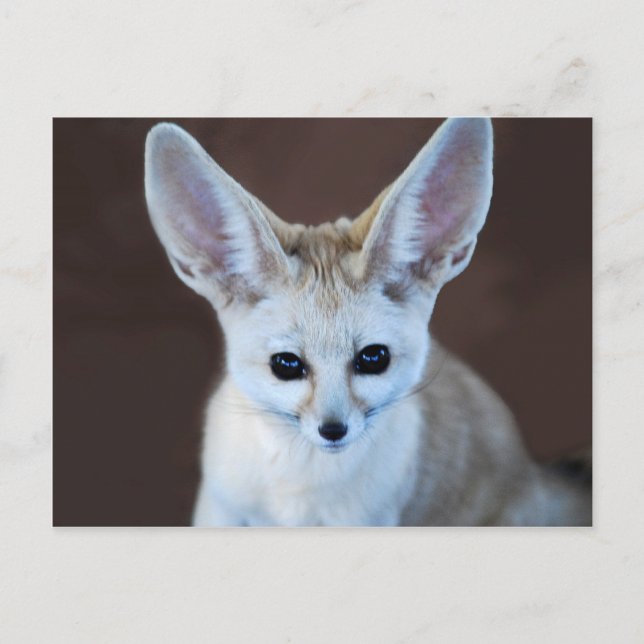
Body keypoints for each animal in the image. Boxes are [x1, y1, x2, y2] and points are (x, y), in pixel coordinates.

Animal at [144, 118, 591, 527]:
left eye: (374, 359)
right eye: (285, 365)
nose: (333, 430)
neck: (297, 497)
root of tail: (533, 474)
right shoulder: (219, 513)